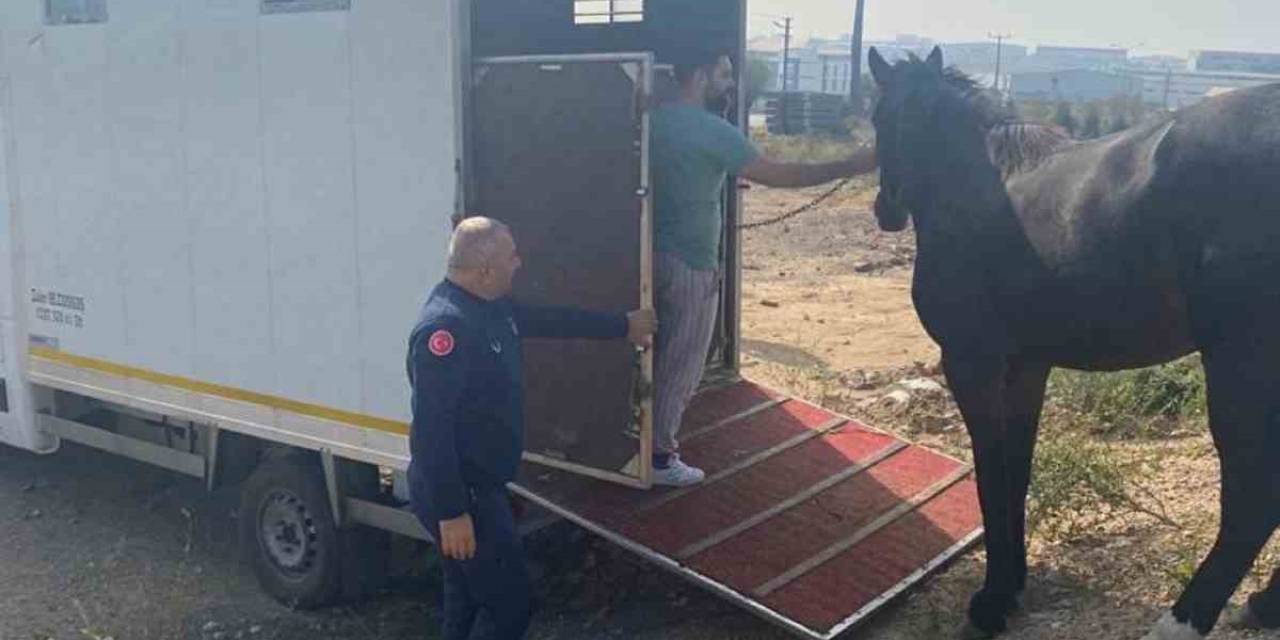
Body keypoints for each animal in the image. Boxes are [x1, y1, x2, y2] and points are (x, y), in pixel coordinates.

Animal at [870, 48, 1280, 640]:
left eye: (877, 118)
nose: (887, 208)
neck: (978, 179)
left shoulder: (972, 363)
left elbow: (991, 473)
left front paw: (991, 602)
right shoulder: (1026, 366)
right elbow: (1016, 470)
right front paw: (1012, 585)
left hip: (1240, 363)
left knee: (1254, 498)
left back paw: (1183, 619)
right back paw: (1267, 603)